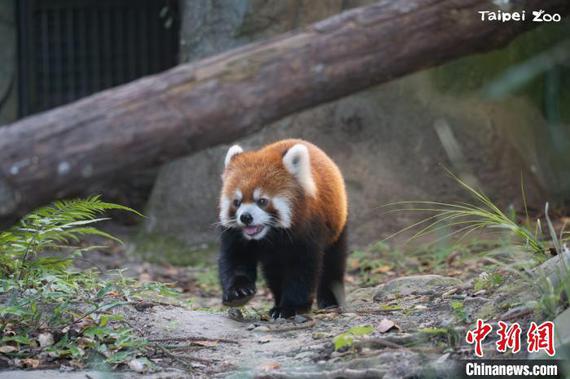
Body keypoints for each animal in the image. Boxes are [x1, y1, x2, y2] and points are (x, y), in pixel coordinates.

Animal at [216, 138, 346, 320]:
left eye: (262, 201)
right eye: (237, 202)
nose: (245, 217)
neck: (271, 236)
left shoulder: (308, 230)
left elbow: (302, 269)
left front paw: (290, 307)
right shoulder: (235, 236)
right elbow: (234, 259)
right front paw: (238, 292)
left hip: (337, 226)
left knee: (333, 263)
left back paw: (330, 301)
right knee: (274, 274)